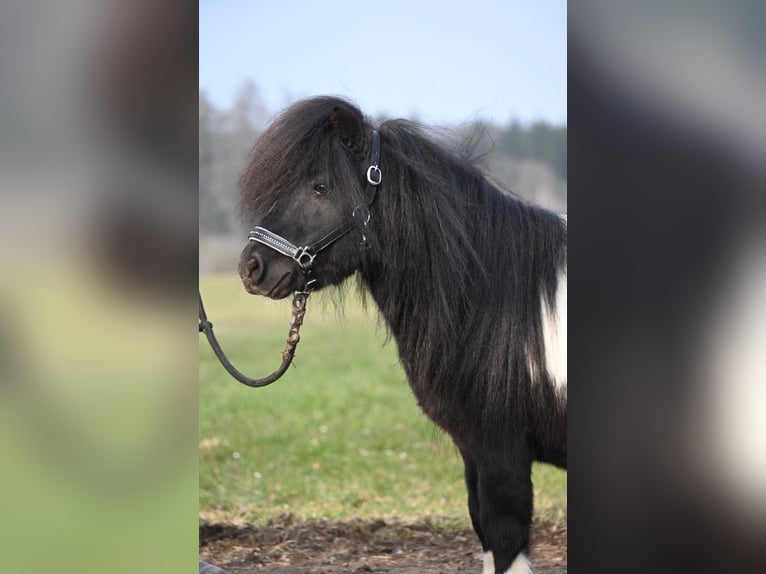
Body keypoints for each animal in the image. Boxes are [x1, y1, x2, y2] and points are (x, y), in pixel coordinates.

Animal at [237, 97, 568, 572]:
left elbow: (503, 537)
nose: (252, 268)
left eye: (320, 186)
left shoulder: (501, 453)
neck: (498, 299)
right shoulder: (473, 451)